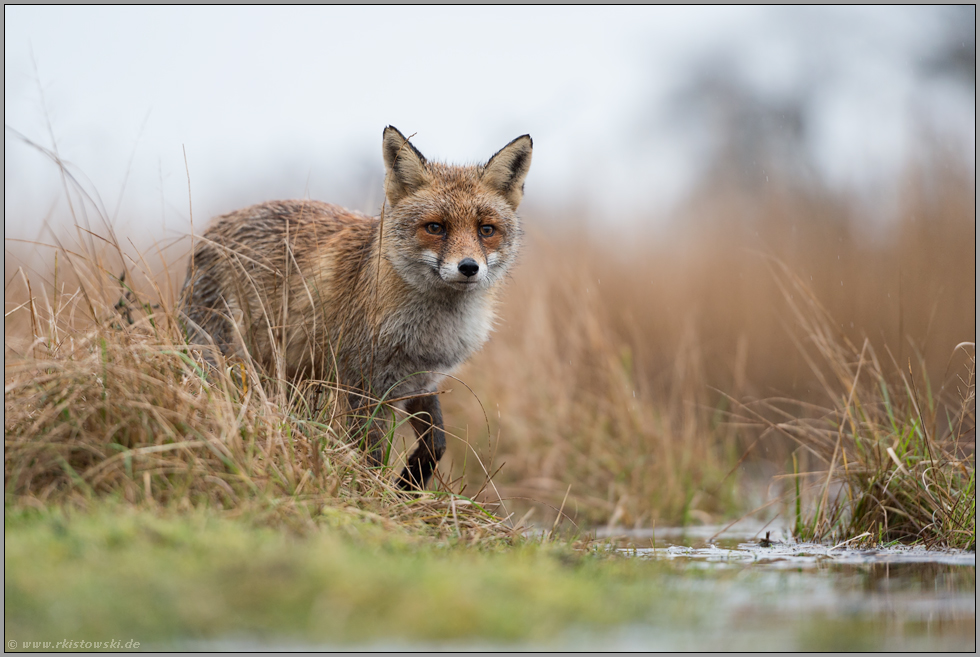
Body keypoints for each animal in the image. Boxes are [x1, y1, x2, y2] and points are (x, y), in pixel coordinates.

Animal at [176, 125, 528, 490]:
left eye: (486, 230)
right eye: (435, 227)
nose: (469, 267)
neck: (429, 333)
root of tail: (212, 228)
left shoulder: (421, 381)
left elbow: (436, 443)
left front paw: (410, 483)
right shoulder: (364, 385)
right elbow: (370, 456)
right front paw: (378, 493)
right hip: (224, 357)